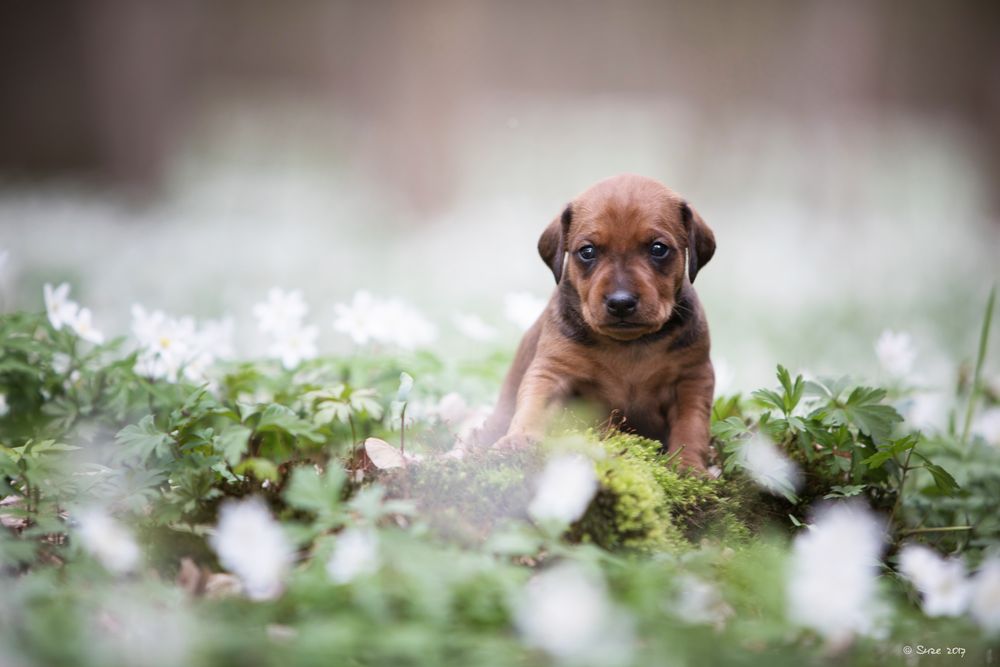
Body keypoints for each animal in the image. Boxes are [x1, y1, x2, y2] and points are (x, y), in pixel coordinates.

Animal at [480, 175, 716, 472]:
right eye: (587, 251)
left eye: (658, 249)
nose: (621, 302)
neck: (629, 345)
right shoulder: (553, 371)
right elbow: (534, 405)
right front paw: (518, 440)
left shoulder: (692, 378)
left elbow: (691, 425)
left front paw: (688, 467)